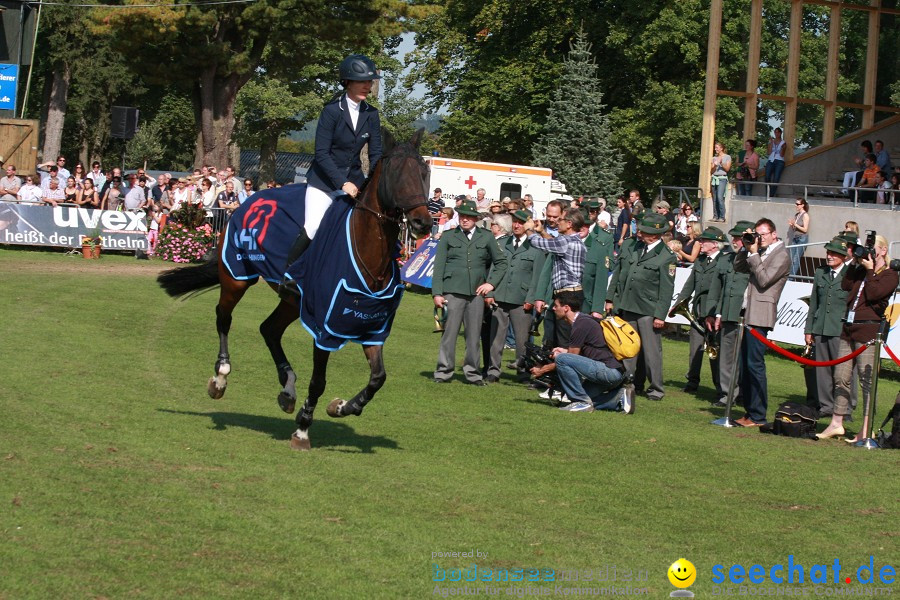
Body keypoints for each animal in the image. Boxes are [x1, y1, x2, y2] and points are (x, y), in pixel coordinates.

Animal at [157, 131, 432, 450]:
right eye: (396, 173)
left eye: (424, 172)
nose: (423, 223)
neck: (368, 252)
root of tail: (251, 199)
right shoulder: (325, 328)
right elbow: (319, 381)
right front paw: (302, 429)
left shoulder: (370, 325)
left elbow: (378, 378)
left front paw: (342, 407)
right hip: (237, 277)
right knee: (223, 317)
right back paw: (221, 377)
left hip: (292, 300)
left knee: (269, 329)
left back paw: (287, 390)